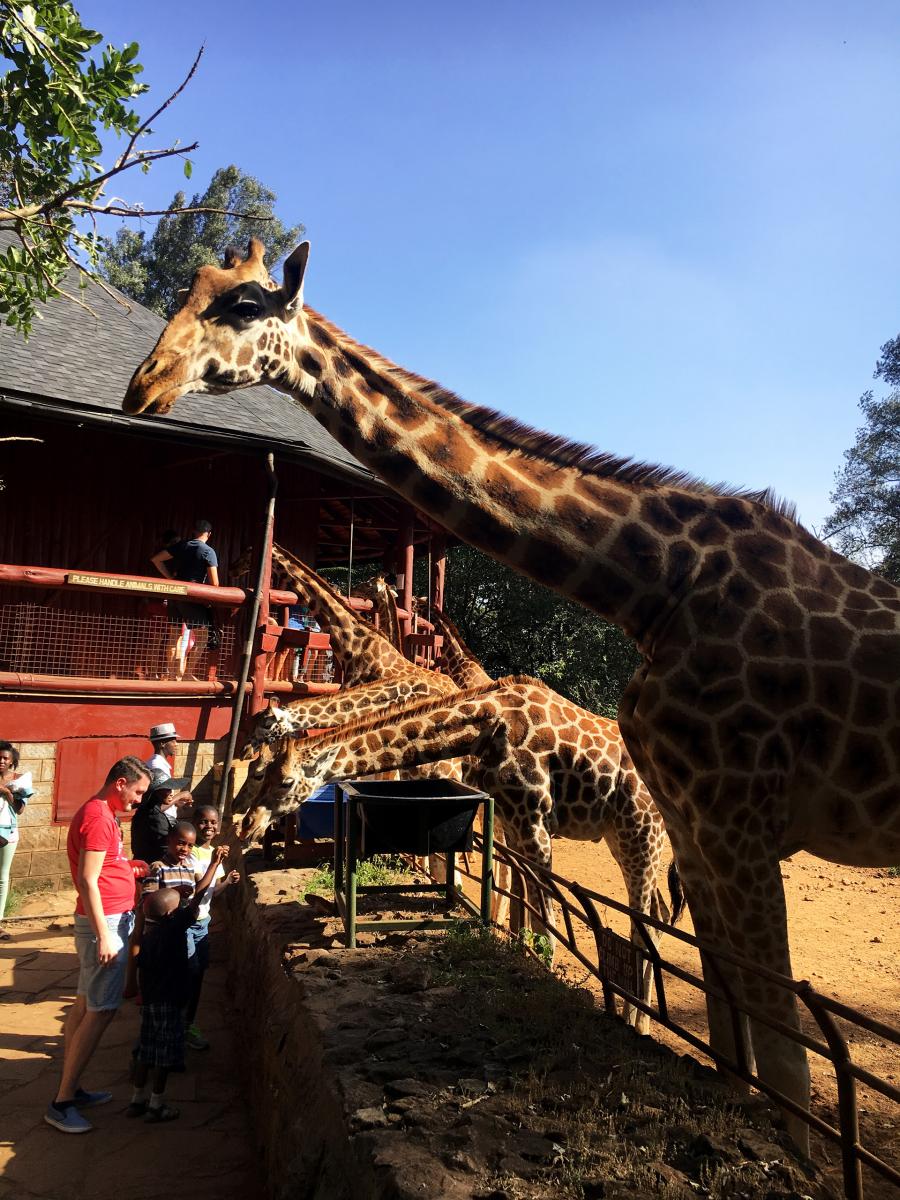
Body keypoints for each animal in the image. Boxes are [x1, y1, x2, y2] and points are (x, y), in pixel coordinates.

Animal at [240, 675, 683, 1033]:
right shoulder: (511, 820)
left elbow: (546, 923)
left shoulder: (533, 822)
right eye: (263, 774)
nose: (246, 825)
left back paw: (636, 1023)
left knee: (642, 927)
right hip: (624, 837)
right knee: (658, 913)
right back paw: (639, 1018)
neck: (484, 727)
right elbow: (522, 905)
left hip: (639, 831)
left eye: (283, 781)